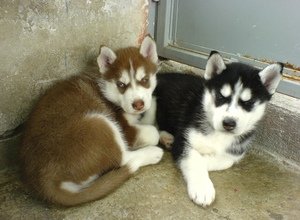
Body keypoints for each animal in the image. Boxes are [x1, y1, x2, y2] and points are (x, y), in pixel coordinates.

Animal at [149, 52, 282, 207]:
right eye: (220, 96)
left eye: (248, 102)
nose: (228, 123)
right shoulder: (183, 139)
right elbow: (193, 158)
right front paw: (202, 188)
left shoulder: (236, 152)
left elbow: (226, 161)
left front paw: (205, 158)